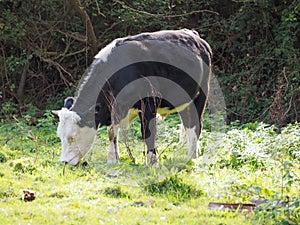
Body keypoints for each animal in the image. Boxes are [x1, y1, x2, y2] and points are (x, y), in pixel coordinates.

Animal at [53, 28, 213, 165]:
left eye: (72, 137)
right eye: (60, 136)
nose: (63, 162)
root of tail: (193, 34)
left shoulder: (149, 104)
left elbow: (147, 132)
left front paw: (152, 163)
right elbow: (112, 132)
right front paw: (113, 160)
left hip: (201, 94)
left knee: (195, 126)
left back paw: (191, 157)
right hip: (184, 100)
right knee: (188, 124)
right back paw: (195, 151)